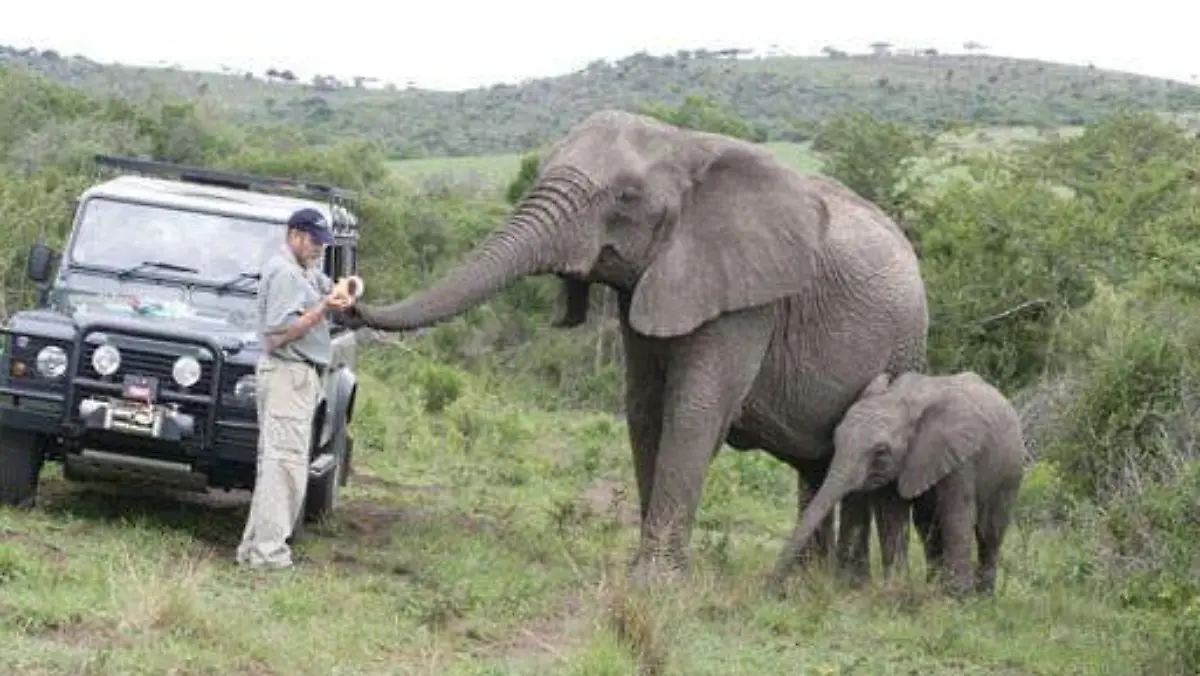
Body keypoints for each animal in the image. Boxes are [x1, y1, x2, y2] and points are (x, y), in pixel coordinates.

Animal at [345, 111, 926, 588]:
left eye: (625, 197)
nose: (348, 296)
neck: (687, 144)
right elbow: (646, 408)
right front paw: (640, 572)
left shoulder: (749, 298)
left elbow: (693, 410)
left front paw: (656, 585)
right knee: (816, 467)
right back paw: (810, 583)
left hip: (906, 345)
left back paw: (850, 587)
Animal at [772, 369, 1027, 597]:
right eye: (836, 437)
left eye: (880, 451)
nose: (774, 592)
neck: (902, 401)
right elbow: (892, 514)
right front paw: (896, 588)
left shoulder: (961, 457)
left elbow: (956, 515)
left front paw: (957, 598)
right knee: (927, 527)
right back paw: (933, 588)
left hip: (1010, 472)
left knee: (989, 531)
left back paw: (982, 598)